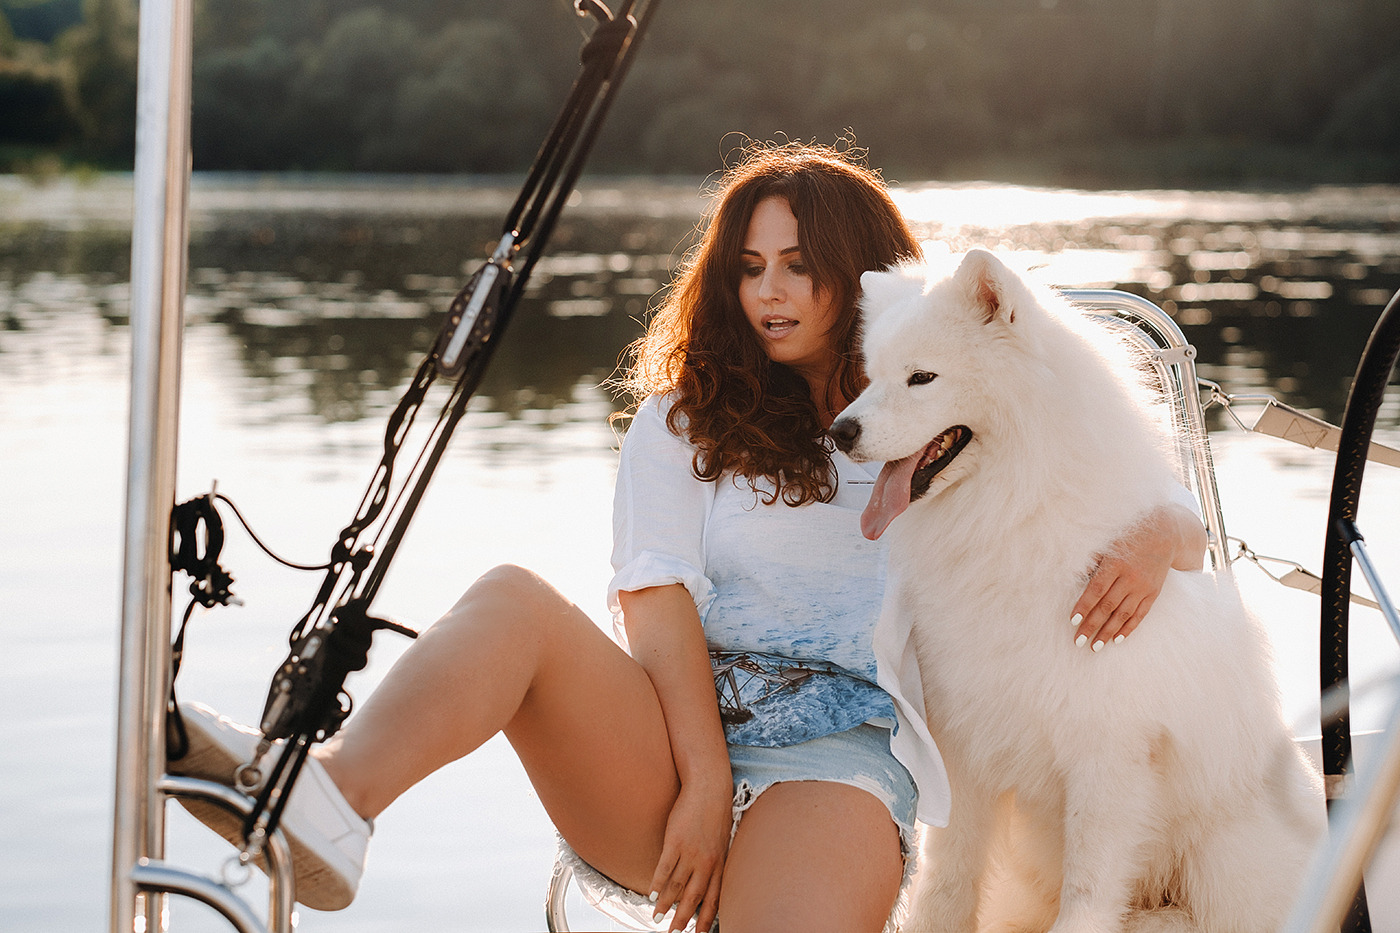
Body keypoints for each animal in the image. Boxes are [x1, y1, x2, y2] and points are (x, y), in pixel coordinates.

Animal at [828, 249, 1321, 930]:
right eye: (871, 377)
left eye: (921, 377)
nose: (839, 430)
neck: (1015, 515)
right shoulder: (963, 740)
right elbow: (947, 877)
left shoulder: (1108, 753)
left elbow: (1088, 888)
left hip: (1223, 861)